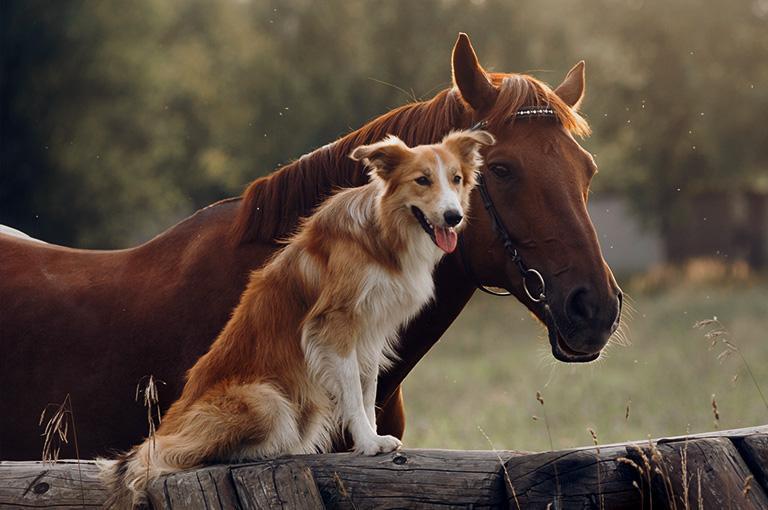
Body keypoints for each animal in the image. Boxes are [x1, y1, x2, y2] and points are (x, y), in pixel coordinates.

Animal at [100, 129, 492, 508]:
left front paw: (373, 437)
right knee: (169, 456)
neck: (383, 233)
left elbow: (367, 389)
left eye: (456, 179)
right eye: (422, 180)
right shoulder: (336, 325)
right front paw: (367, 443)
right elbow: (352, 390)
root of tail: (168, 426)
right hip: (266, 400)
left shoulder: (371, 330)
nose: (454, 217)